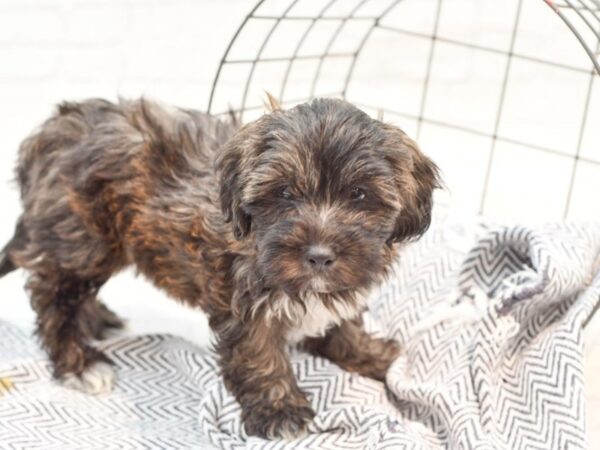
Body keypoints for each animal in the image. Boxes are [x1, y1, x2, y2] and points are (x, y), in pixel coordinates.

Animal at [0, 96, 440, 438]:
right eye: (284, 193)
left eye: (359, 194)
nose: (318, 255)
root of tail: (53, 131)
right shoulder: (241, 302)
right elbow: (259, 353)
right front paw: (279, 409)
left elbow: (343, 323)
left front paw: (369, 355)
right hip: (83, 240)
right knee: (53, 296)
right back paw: (79, 363)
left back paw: (96, 319)